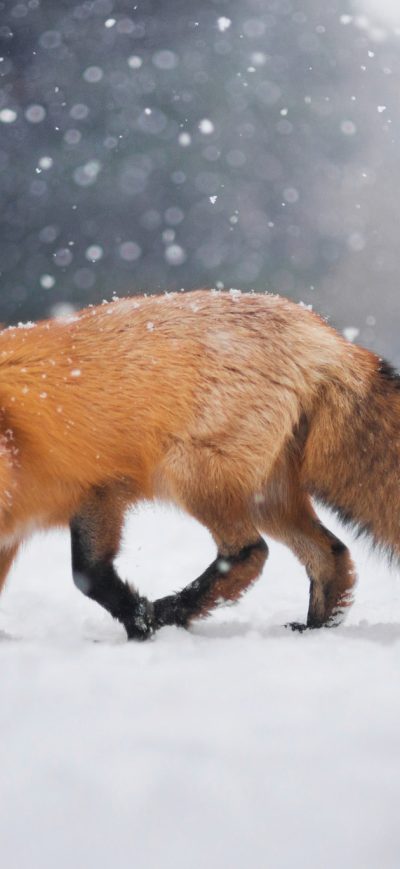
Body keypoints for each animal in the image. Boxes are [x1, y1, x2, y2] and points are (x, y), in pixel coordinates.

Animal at [0, 287, 397, 640]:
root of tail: (325, 335)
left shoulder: (98, 489)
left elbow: (87, 575)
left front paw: (142, 622)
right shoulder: (90, 496)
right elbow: (88, 573)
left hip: (191, 475)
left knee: (249, 553)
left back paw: (172, 611)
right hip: (265, 497)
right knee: (331, 555)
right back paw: (314, 630)